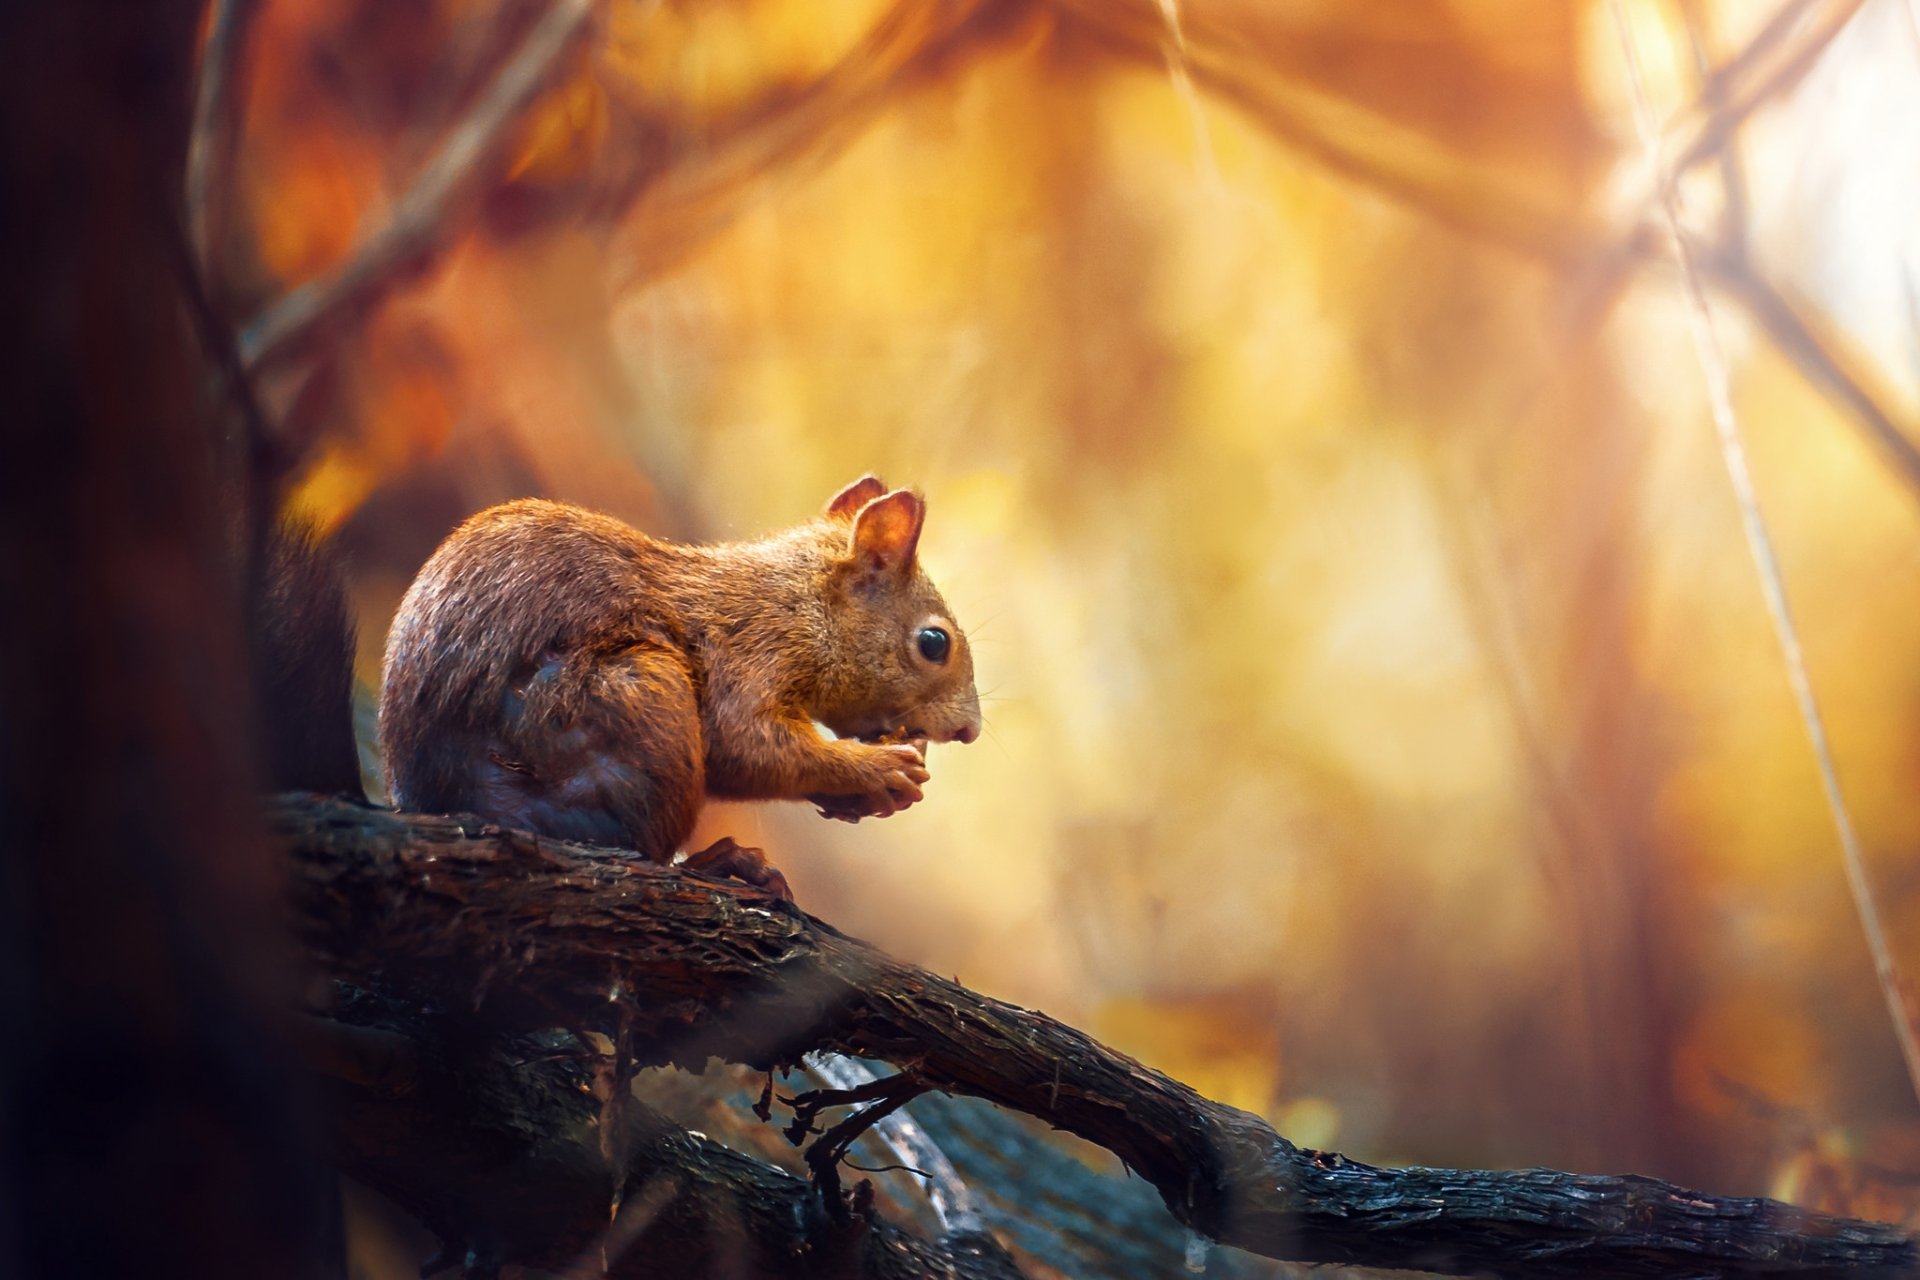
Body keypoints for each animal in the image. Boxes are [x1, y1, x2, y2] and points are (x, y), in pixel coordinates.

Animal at [376, 476, 981, 898]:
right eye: (934, 642)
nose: (970, 730)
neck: (801, 605)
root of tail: (438, 796)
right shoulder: (750, 651)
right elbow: (745, 746)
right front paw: (876, 771)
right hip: (637, 699)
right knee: (639, 845)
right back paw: (721, 863)